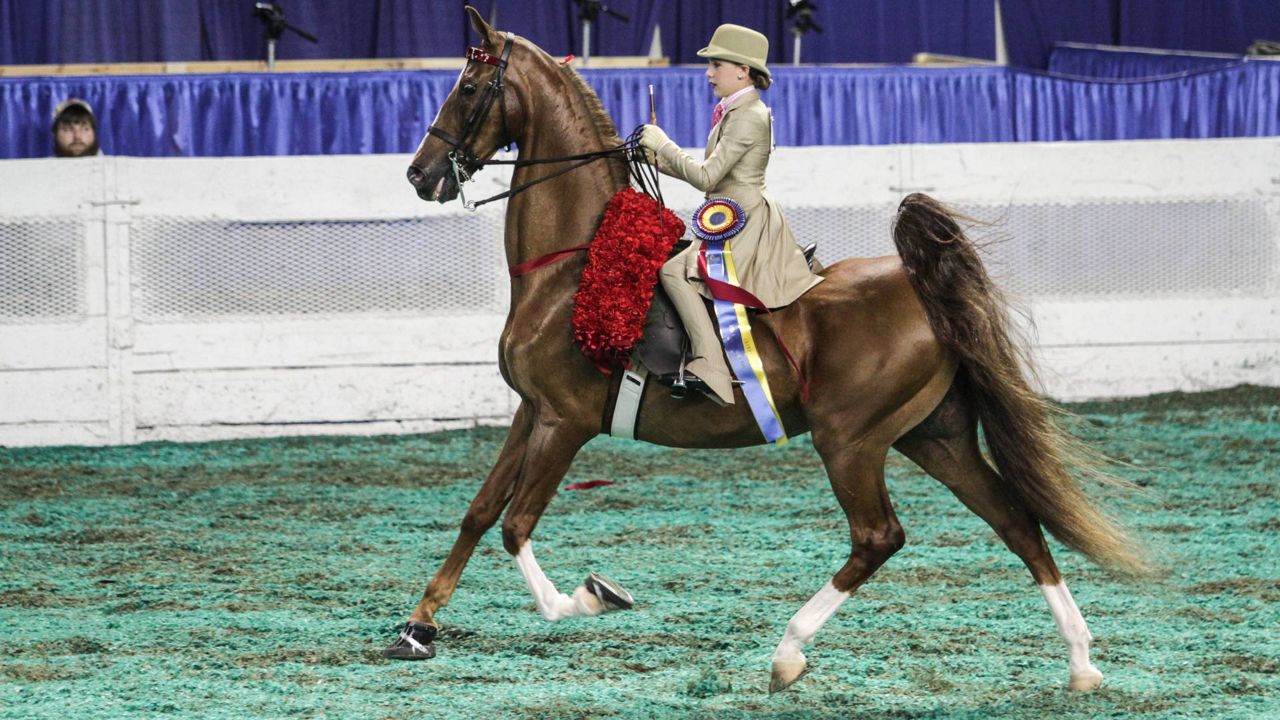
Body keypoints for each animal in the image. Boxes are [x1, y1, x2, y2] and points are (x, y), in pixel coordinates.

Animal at [391, 4, 1152, 691]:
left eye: (468, 87)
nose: (420, 175)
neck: (574, 263)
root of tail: (917, 284)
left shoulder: (565, 420)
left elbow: (516, 526)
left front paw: (593, 596)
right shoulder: (531, 410)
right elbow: (479, 513)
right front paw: (417, 628)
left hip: (852, 439)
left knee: (880, 536)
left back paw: (788, 653)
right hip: (934, 434)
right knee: (1016, 521)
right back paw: (1082, 663)